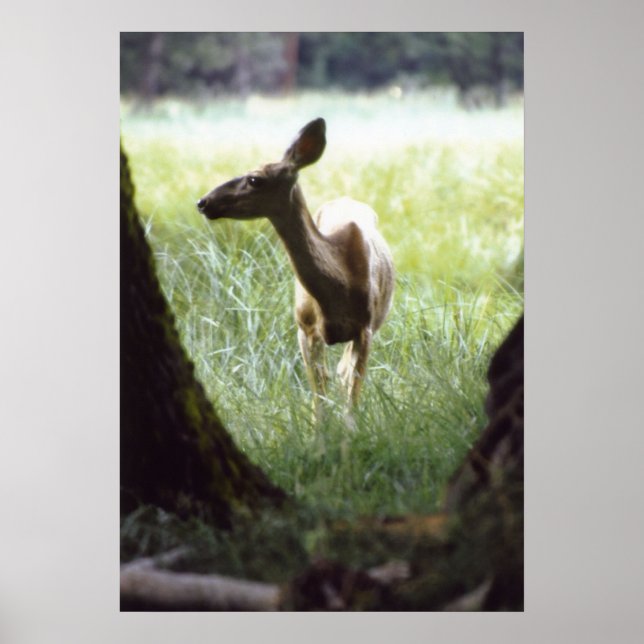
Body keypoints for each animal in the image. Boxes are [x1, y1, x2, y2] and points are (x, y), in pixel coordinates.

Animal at [196, 118, 394, 421]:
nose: (203, 202)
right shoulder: (305, 326)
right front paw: (319, 434)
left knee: (344, 373)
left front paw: (350, 432)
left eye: (254, 179)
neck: (339, 283)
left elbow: (352, 390)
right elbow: (319, 392)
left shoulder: (366, 326)